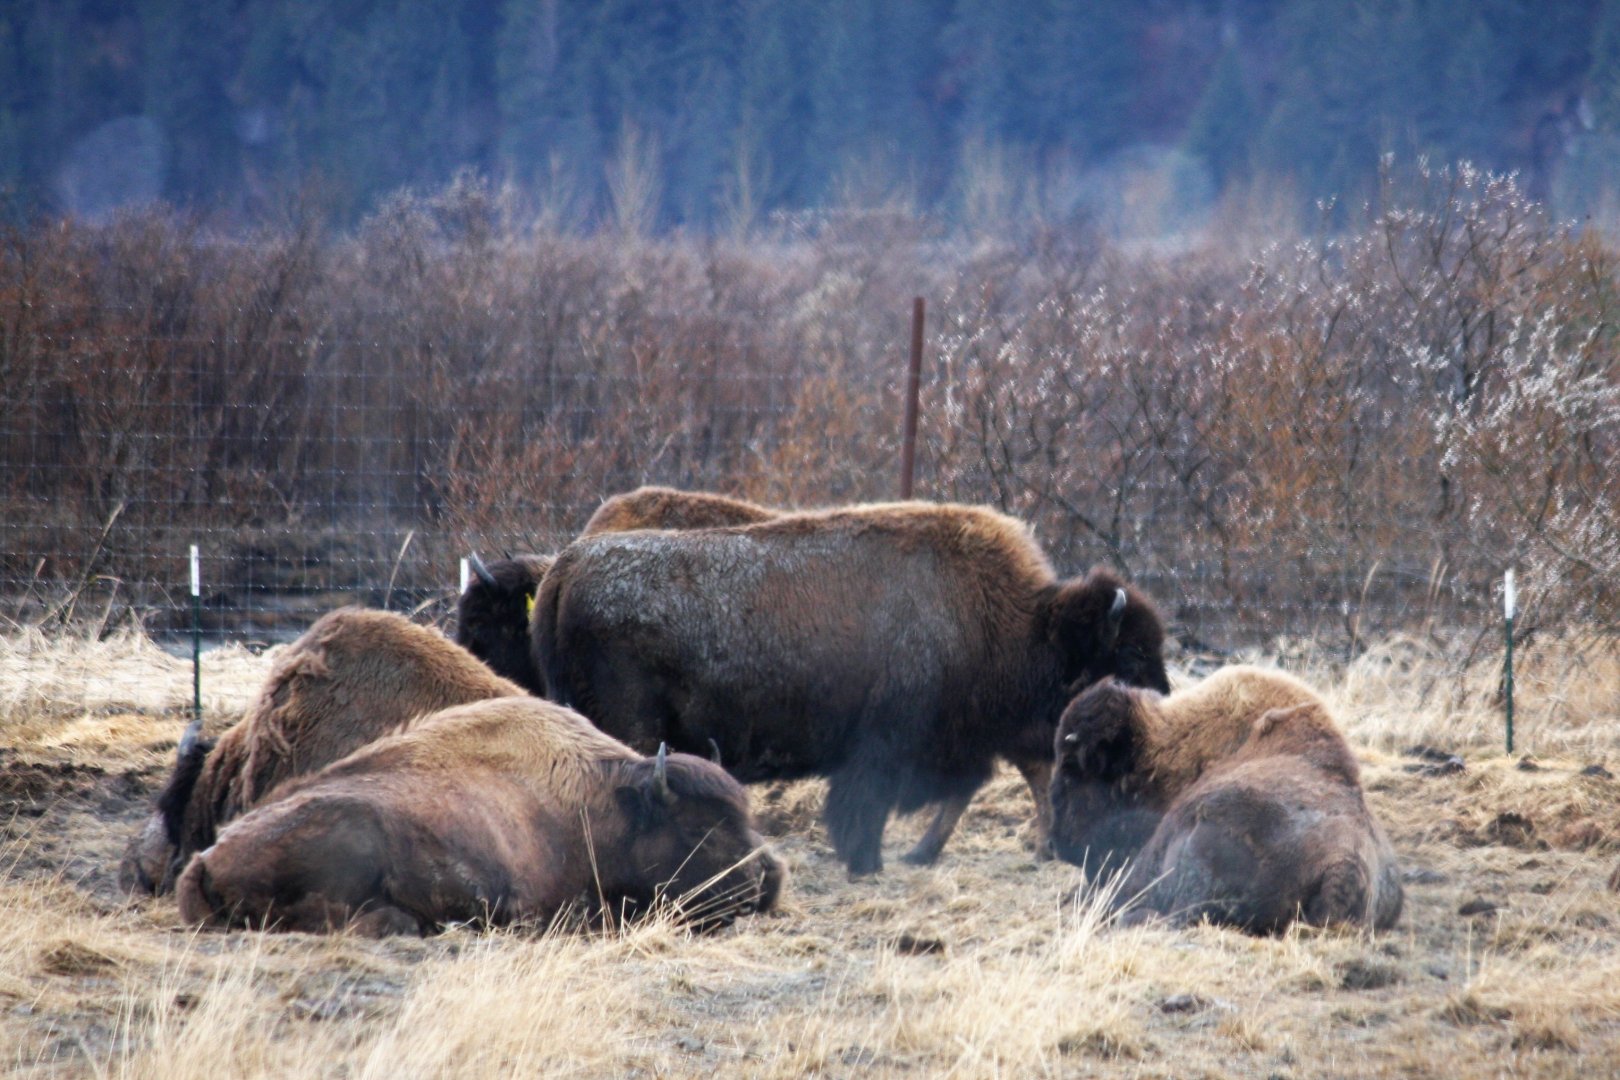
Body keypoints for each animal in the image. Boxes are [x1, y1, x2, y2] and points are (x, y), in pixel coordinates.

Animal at [176, 696, 785, 935]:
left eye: (743, 812)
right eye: (699, 826)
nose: (769, 875)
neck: (607, 803)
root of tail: (205, 859)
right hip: (352, 833)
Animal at [534, 500, 1168, 875]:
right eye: (1130, 652)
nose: (1162, 698)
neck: (1013, 621)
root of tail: (567, 566)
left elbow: (958, 791)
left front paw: (911, 854)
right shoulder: (891, 746)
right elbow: (869, 804)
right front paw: (870, 861)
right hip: (630, 729)